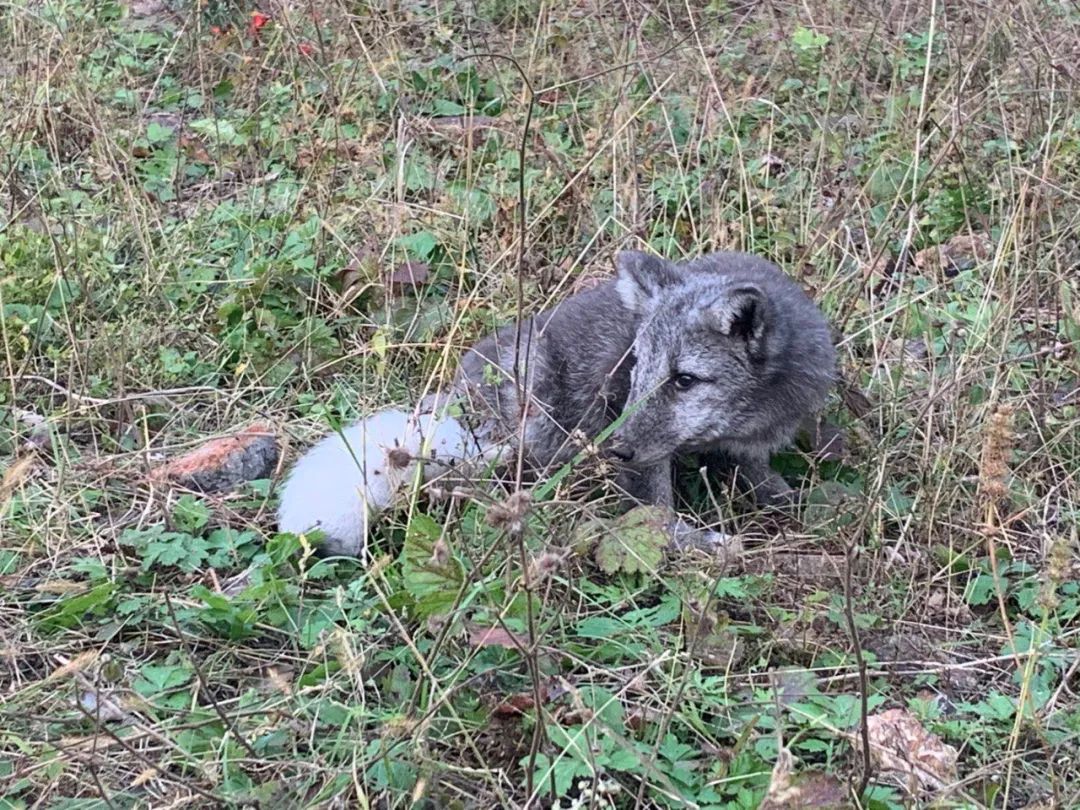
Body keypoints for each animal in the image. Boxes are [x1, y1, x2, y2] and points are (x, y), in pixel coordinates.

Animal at [276, 252, 833, 557]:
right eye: (635, 368)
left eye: (684, 380)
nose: (614, 450)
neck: (737, 422)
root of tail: (457, 392)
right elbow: (652, 513)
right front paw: (701, 544)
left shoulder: (755, 442)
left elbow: (761, 478)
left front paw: (790, 502)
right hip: (531, 406)